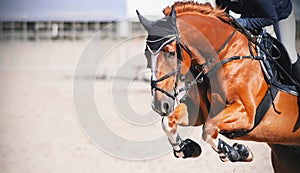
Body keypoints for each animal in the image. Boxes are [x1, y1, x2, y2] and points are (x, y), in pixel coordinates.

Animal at [137, 1, 300, 173]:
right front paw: (186, 149)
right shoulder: (199, 112)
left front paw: (237, 152)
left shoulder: (246, 113)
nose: (158, 105)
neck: (224, 54)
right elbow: (167, 122)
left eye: (171, 53)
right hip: (284, 157)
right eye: (147, 55)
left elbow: (208, 129)